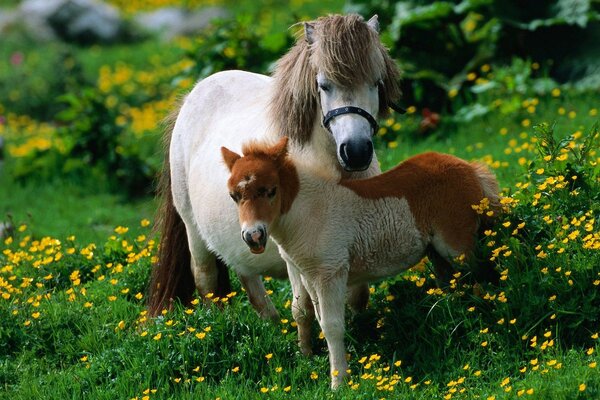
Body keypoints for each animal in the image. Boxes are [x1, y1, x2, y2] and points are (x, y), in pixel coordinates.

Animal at [148, 14, 404, 318]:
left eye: (376, 83)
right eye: (324, 85)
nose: (355, 152)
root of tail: (191, 97)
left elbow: (357, 297)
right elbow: (305, 306)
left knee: (248, 276)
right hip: (193, 230)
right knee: (206, 279)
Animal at [223, 137, 500, 388]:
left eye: (271, 190)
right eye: (234, 196)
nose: (253, 236)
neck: (309, 212)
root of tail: (470, 167)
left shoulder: (331, 273)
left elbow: (333, 326)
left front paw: (339, 383)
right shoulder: (309, 275)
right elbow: (313, 317)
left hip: (456, 246)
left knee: (483, 276)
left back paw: (487, 328)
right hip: (436, 252)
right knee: (452, 283)